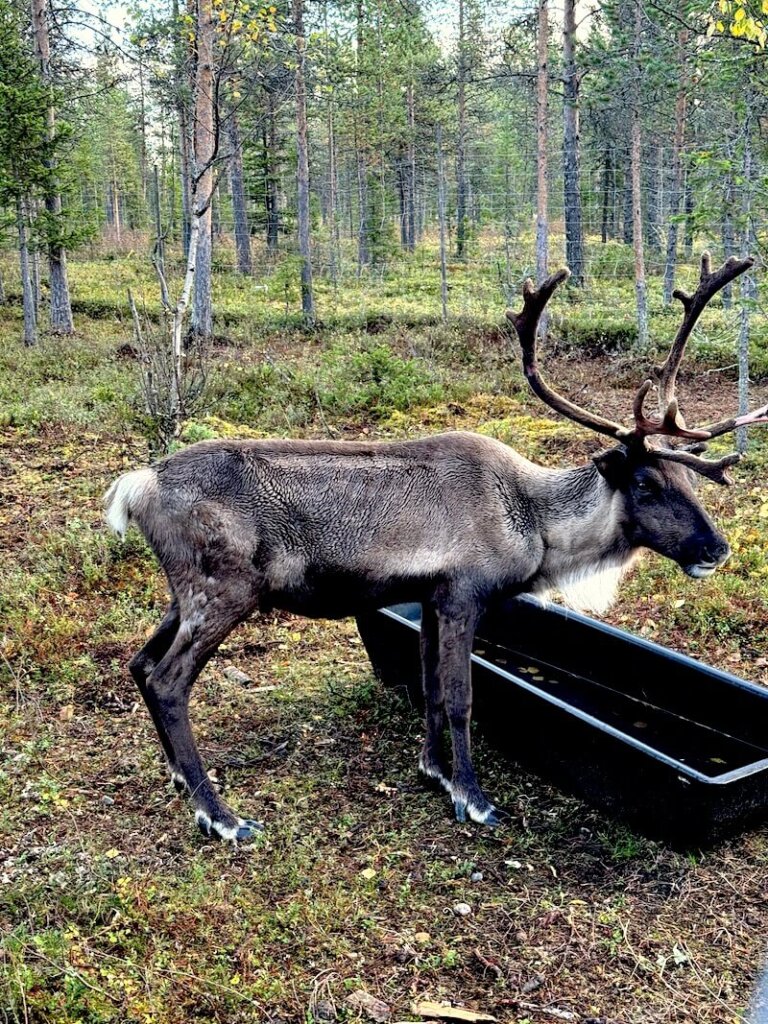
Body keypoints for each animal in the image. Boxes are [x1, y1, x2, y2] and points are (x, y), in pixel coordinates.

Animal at [106, 252, 767, 842]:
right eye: (647, 483)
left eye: (689, 479)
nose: (717, 549)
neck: (535, 524)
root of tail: (139, 484)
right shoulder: (461, 595)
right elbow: (460, 699)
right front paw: (473, 798)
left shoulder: (424, 597)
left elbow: (427, 686)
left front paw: (434, 772)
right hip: (225, 589)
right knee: (168, 681)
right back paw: (219, 815)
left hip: (185, 592)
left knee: (139, 663)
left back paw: (179, 780)